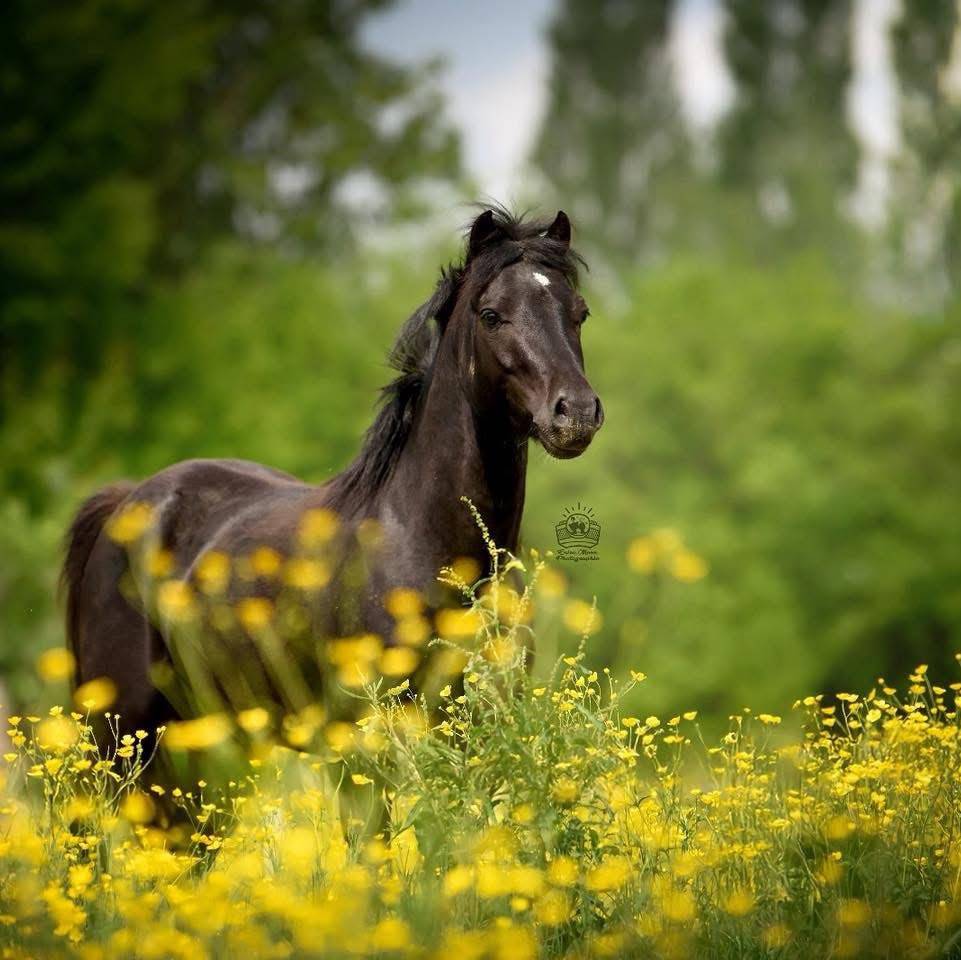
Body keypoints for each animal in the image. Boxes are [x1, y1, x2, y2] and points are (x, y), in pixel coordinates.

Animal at [61, 206, 604, 739]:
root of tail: (129, 501)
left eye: (580, 313)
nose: (575, 413)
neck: (418, 540)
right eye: (491, 315)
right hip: (124, 729)